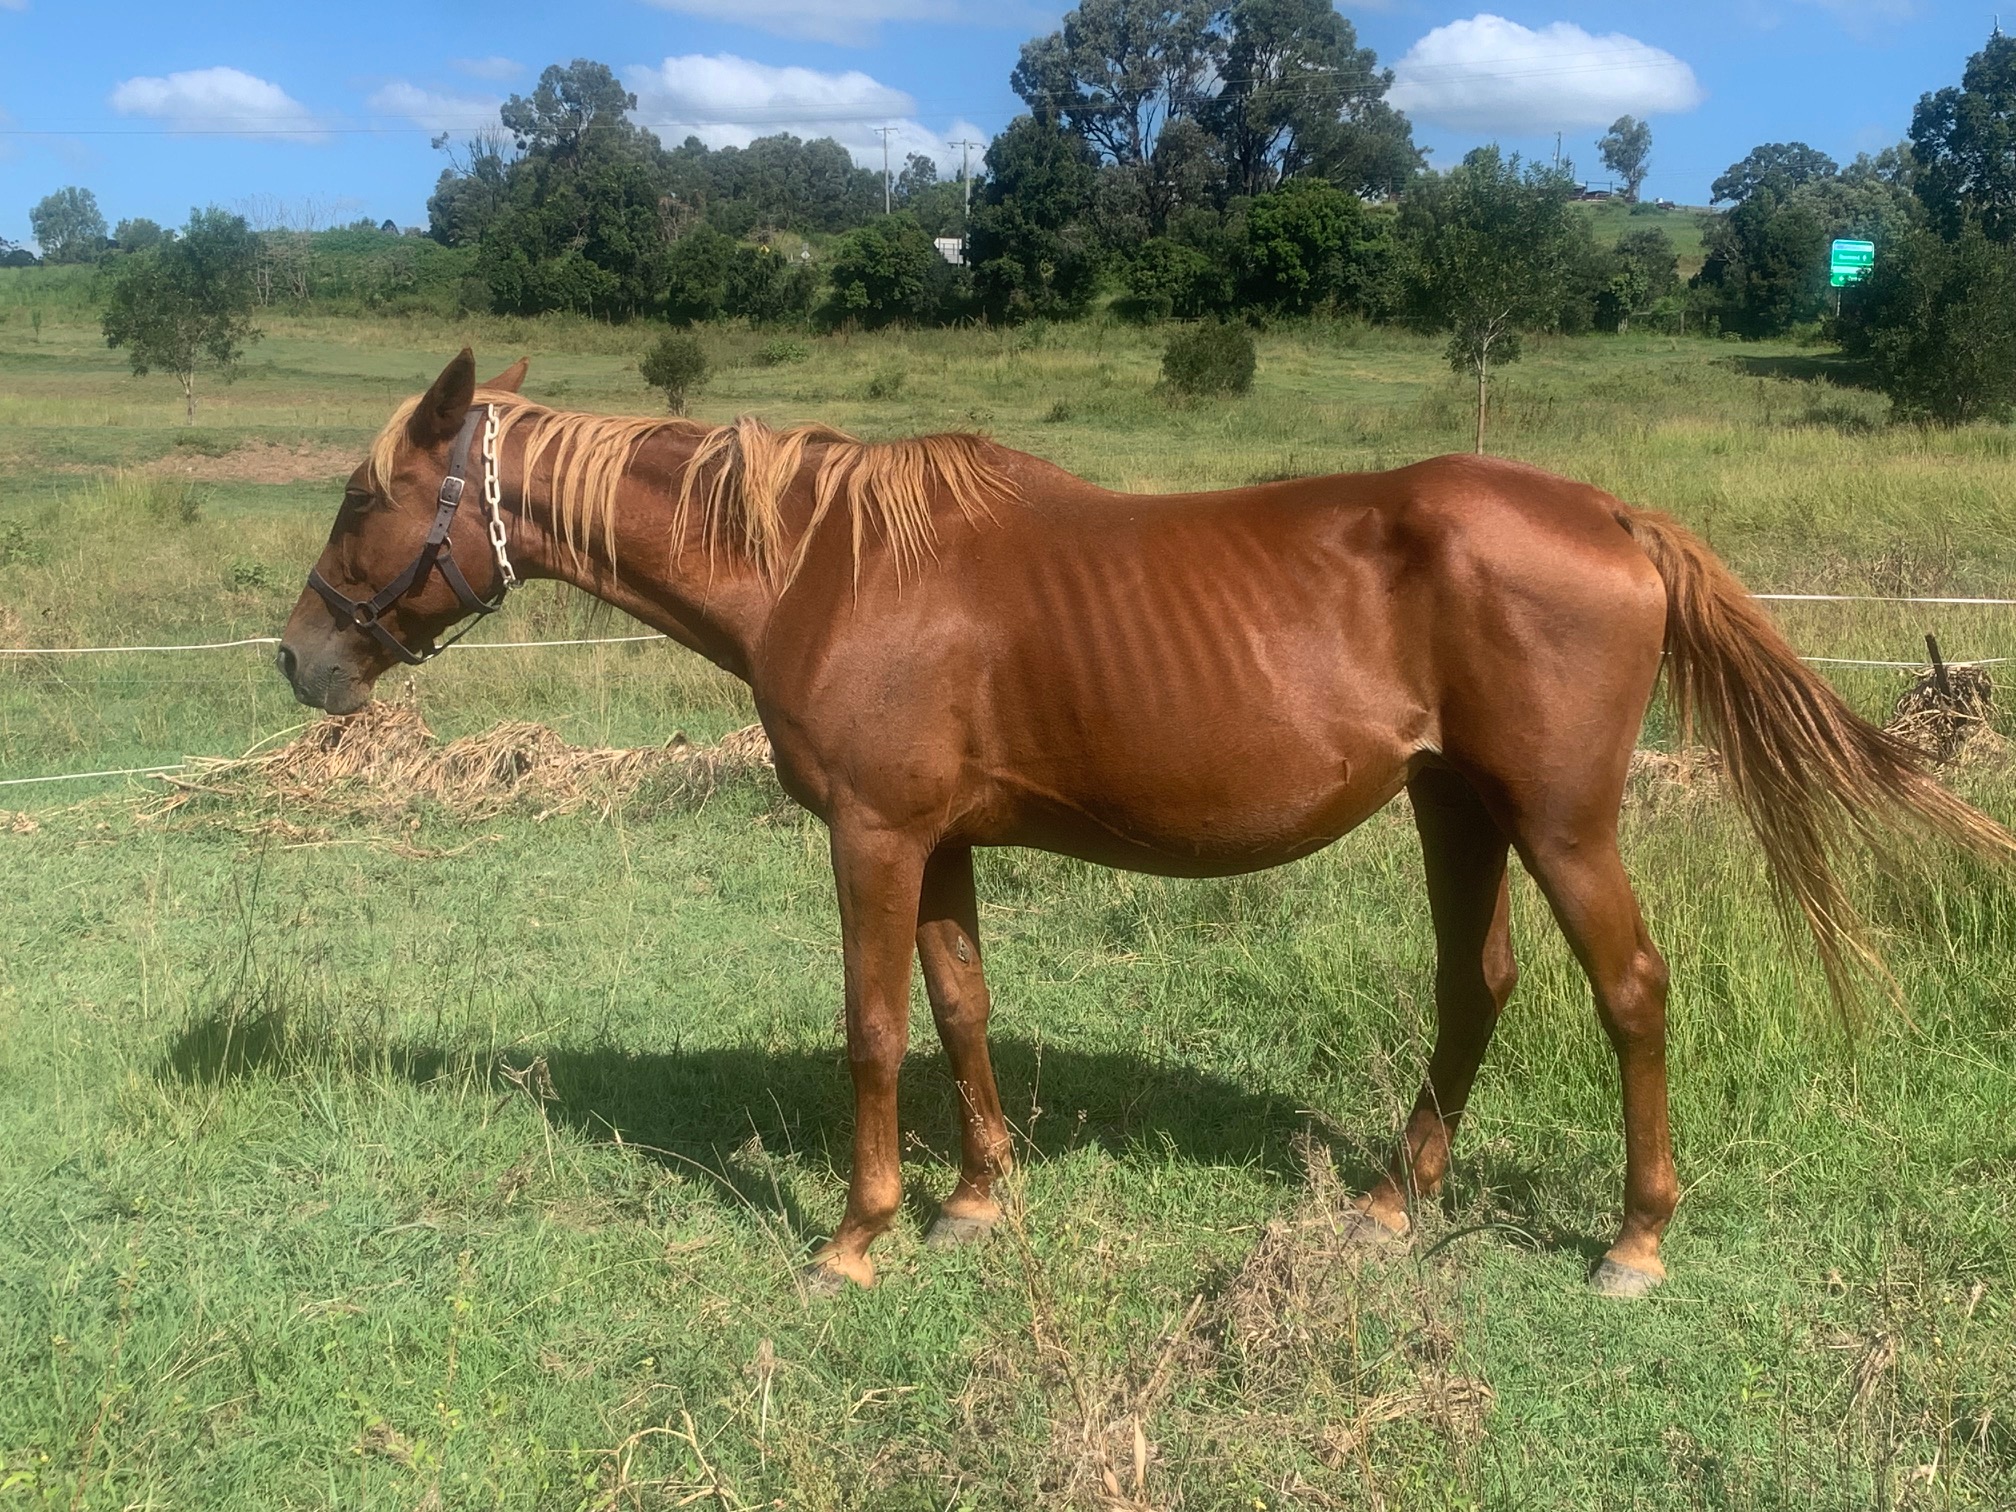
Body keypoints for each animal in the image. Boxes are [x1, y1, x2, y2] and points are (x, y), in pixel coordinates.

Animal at [278, 349, 2013, 1298]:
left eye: (361, 504)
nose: (300, 662)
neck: (827, 561)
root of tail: (1609, 516)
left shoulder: (873, 837)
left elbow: (873, 1028)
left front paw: (856, 1234)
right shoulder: (940, 844)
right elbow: (962, 1006)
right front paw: (977, 1202)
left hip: (1562, 822)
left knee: (1630, 994)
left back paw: (1635, 1241)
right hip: (1455, 806)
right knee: (1478, 988)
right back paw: (1394, 1203)